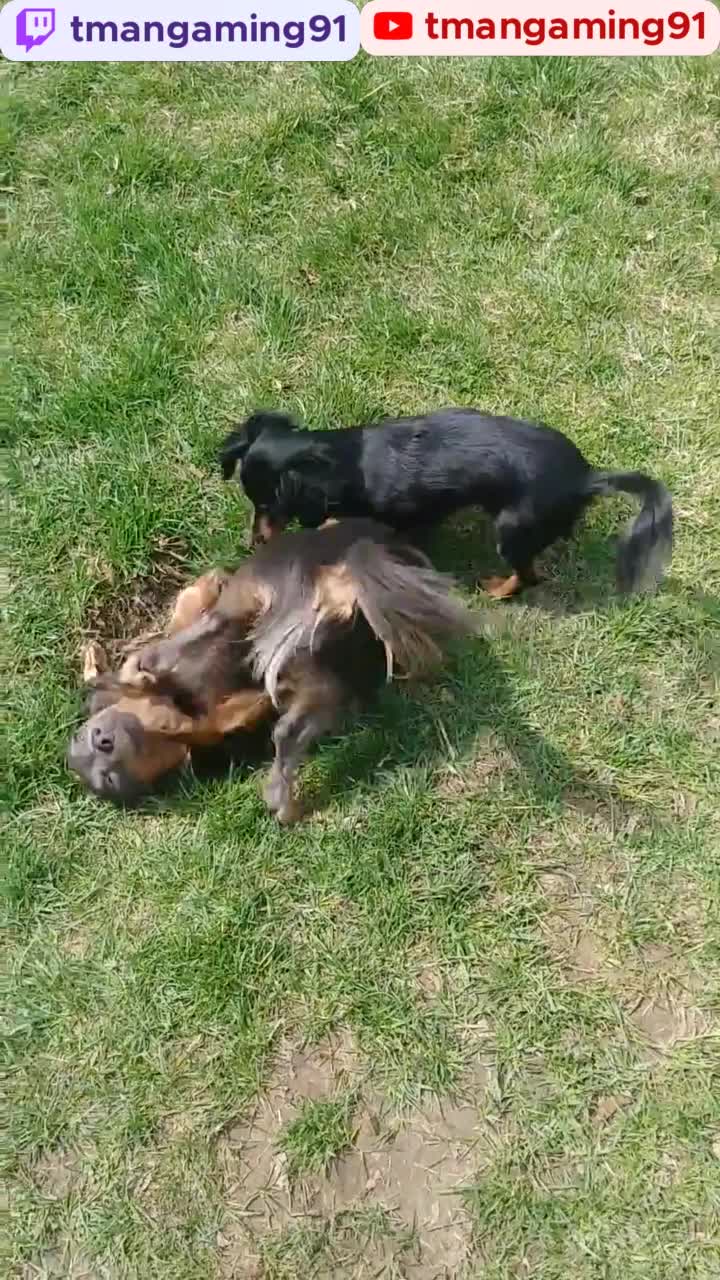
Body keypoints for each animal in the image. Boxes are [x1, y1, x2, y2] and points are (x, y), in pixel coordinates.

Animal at [65, 517, 471, 819]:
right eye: (109, 780)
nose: (102, 740)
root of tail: (335, 584)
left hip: (283, 640)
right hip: (318, 675)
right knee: (288, 726)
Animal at [215, 407, 671, 596]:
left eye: (269, 507)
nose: (255, 542)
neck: (351, 461)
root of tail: (584, 478)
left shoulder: (410, 521)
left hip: (512, 531)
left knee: (528, 576)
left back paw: (497, 590)